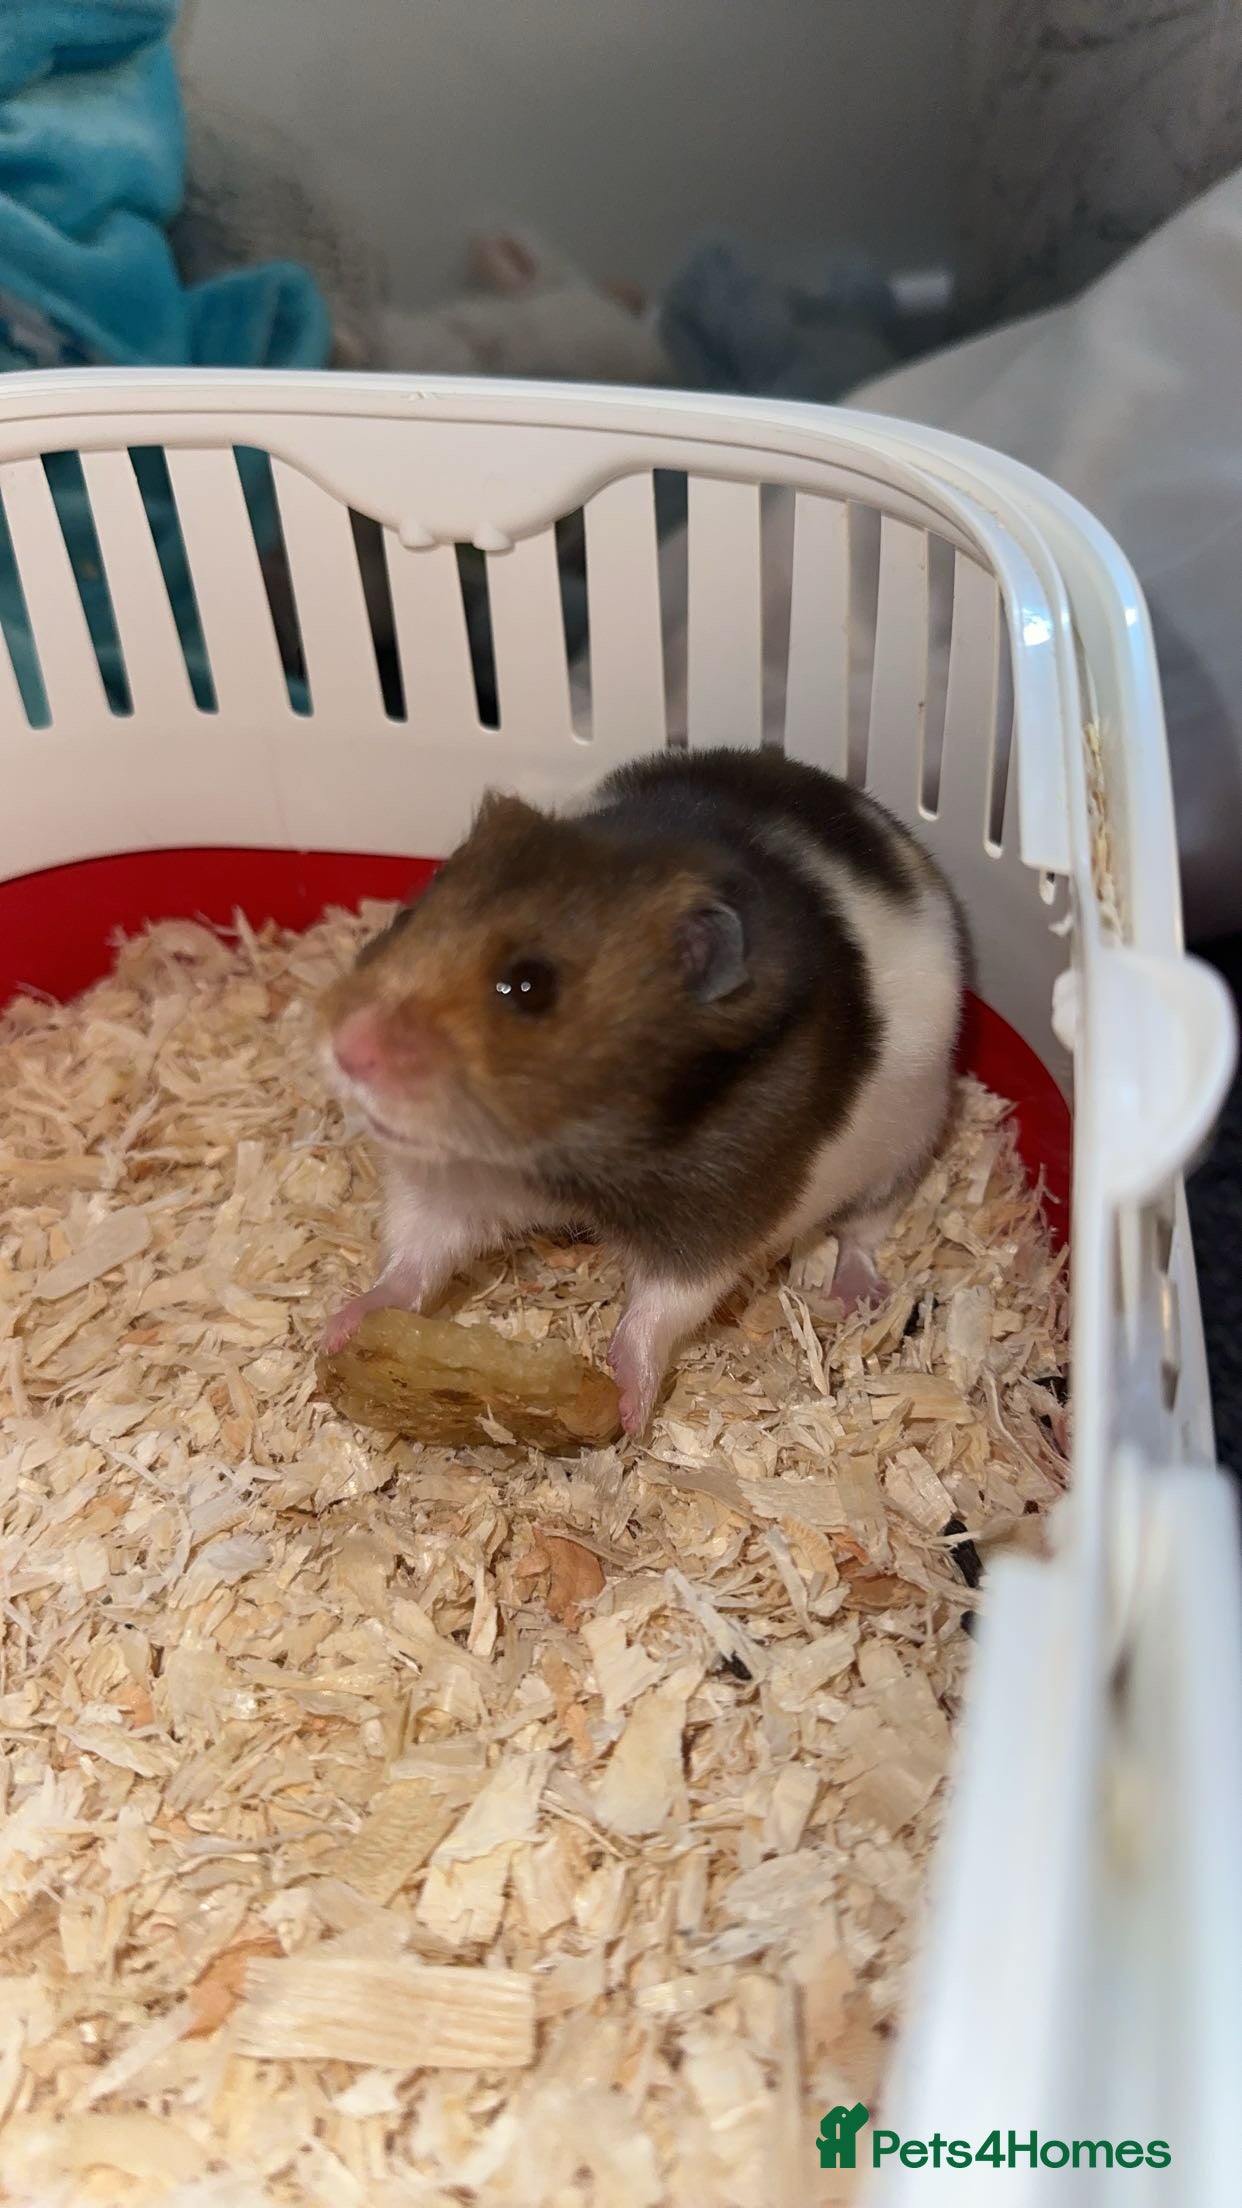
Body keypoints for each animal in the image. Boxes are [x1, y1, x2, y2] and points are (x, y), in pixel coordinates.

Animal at [318, 747, 969, 1437]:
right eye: (407, 917)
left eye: (530, 986)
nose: (346, 1048)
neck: (560, 1154)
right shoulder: (447, 1183)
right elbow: (414, 1253)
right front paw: (337, 1330)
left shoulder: (714, 1221)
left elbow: (660, 1309)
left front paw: (630, 1411)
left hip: (910, 1138)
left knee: (865, 1230)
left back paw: (855, 1299)